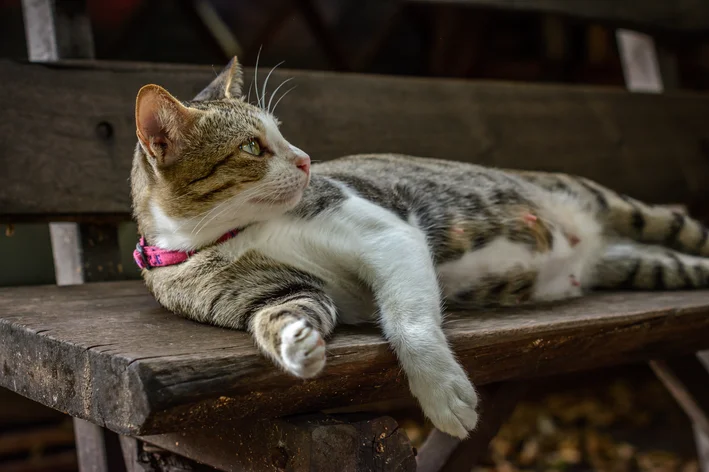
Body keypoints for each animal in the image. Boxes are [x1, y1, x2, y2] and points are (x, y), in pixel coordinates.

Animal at [130, 58, 708, 438]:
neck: (231, 236)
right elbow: (289, 308)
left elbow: (408, 321)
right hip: (644, 266)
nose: (306, 160)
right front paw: (297, 343)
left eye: (280, 132)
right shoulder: (270, 291)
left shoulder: (385, 233)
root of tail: (597, 244)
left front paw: (443, 394)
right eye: (252, 147)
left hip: (622, 206)